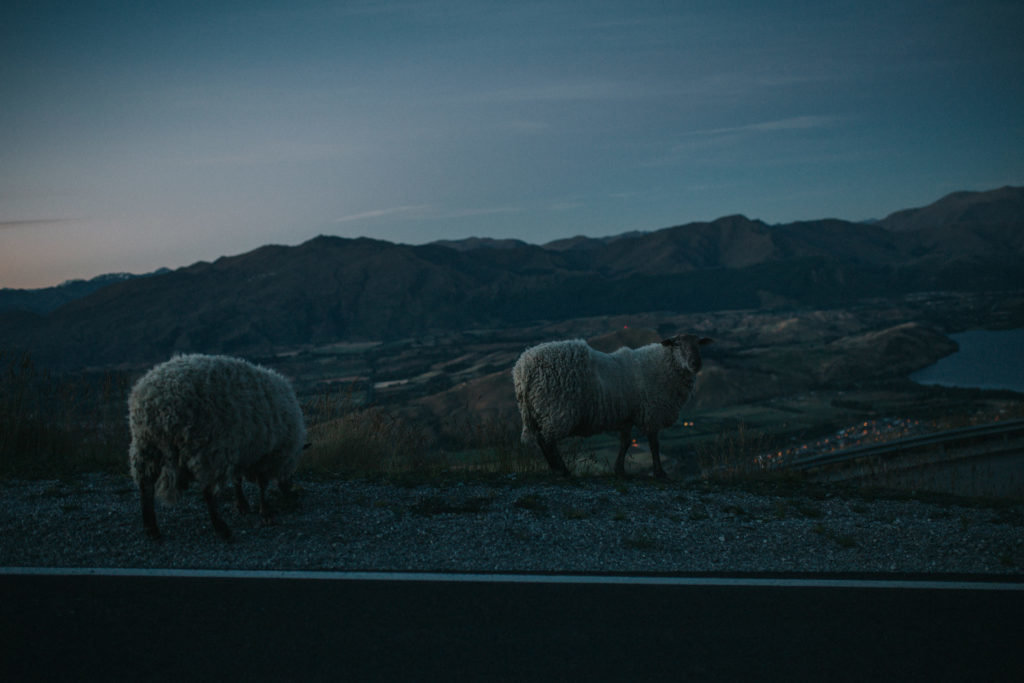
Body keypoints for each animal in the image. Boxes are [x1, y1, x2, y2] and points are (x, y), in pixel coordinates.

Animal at [128, 352, 305, 540]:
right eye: (293, 473)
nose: (292, 494)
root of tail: (157, 400)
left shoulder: (242, 451)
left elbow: (237, 480)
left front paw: (242, 504)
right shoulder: (268, 455)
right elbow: (262, 485)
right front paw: (265, 512)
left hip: (145, 444)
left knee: (145, 485)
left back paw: (151, 528)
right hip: (206, 448)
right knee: (208, 491)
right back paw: (220, 527)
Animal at [512, 333, 712, 479]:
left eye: (699, 344)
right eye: (677, 344)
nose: (696, 363)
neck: (665, 365)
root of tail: (523, 368)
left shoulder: (627, 416)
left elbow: (625, 442)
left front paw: (619, 470)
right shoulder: (652, 413)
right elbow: (654, 445)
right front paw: (660, 473)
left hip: (537, 410)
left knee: (542, 440)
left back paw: (558, 469)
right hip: (556, 409)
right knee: (546, 441)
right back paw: (562, 470)